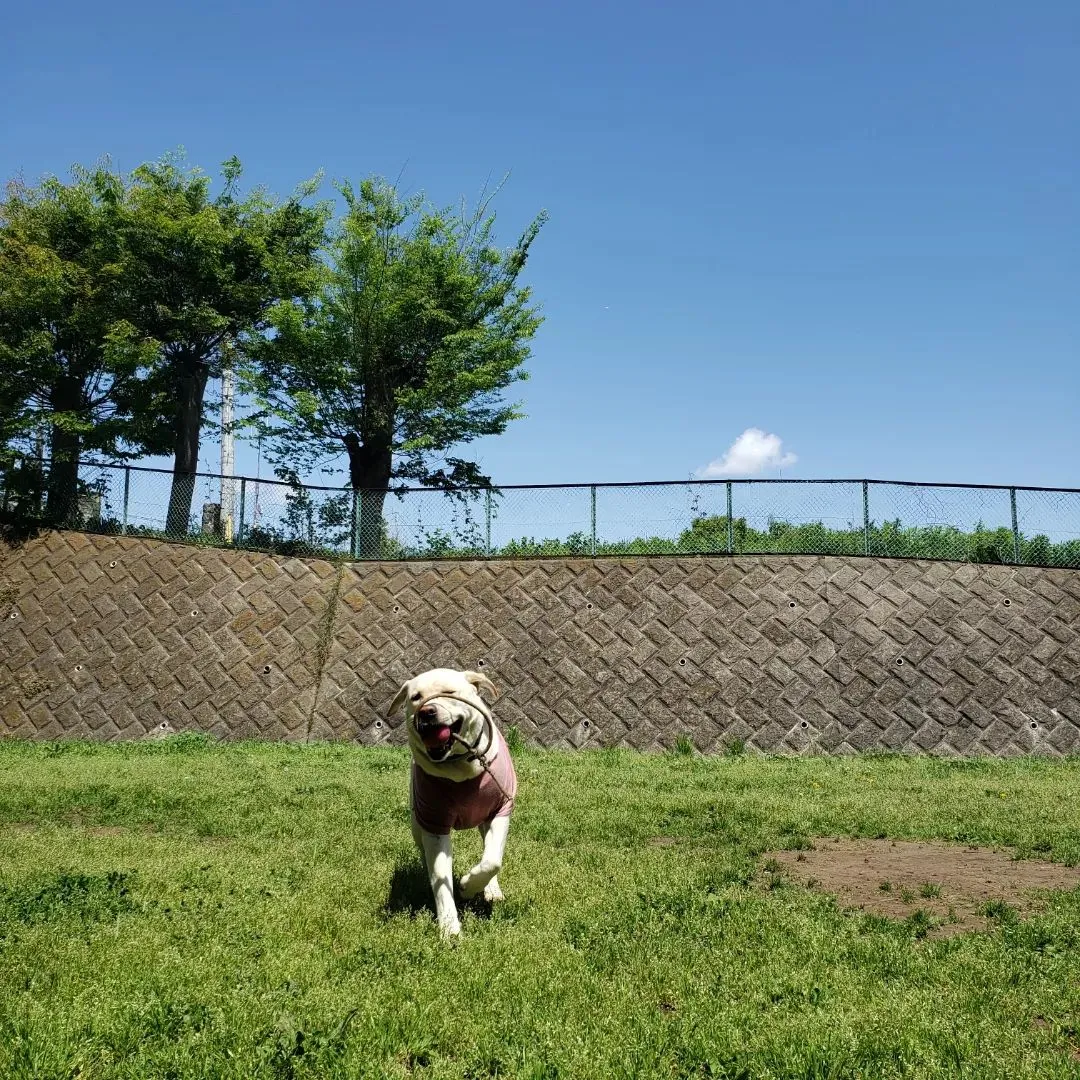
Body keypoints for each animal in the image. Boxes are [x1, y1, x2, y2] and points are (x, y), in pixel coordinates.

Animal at [388, 665, 518, 937]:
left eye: (449, 692)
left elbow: (492, 861)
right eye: (415, 697)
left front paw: (469, 886)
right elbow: (440, 875)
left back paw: (491, 889)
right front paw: (449, 926)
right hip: (417, 823)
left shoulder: (500, 810)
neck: (460, 767)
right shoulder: (433, 821)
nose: (426, 712)